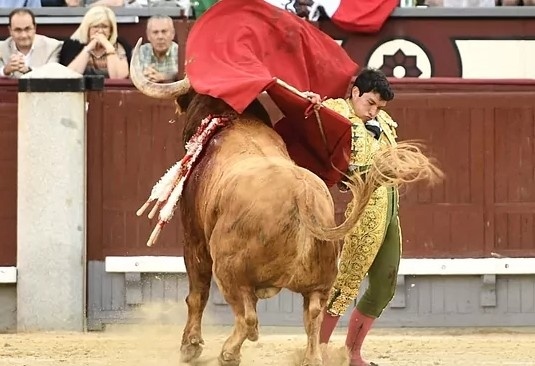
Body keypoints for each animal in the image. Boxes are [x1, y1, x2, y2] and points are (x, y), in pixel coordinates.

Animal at [130, 38, 444, 366]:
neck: (235, 121)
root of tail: (301, 197)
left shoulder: (193, 237)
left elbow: (197, 293)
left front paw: (190, 346)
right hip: (320, 281)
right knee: (315, 315)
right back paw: (312, 357)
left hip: (229, 269)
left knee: (248, 318)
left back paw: (229, 353)